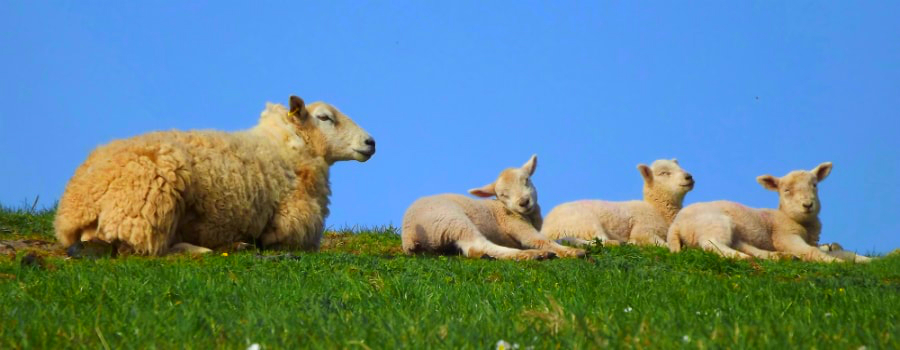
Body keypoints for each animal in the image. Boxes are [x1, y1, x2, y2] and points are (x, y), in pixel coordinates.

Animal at [54, 95, 374, 254]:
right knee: (147, 247)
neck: (286, 146)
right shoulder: (292, 224)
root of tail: (76, 204)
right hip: (146, 207)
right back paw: (206, 248)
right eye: (324, 117)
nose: (371, 142)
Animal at [402, 155, 588, 260]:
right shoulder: (515, 225)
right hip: (451, 220)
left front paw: (587, 242)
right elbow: (540, 240)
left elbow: (564, 237)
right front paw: (571, 251)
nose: (524, 202)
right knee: (477, 247)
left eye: (527, 180)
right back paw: (530, 255)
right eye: (503, 195)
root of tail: (409, 235)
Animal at [536, 159, 692, 246]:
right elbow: (660, 243)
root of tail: (545, 230)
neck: (657, 209)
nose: (689, 177)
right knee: (602, 242)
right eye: (664, 173)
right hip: (585, 222)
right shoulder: (644, 229)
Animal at [668, 161, 872, 262]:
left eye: (815, 185)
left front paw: (868, 261)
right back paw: (744, 258)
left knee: (740, 245)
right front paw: (838, 264)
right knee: (711, 243)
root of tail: (676, 225)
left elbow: (846, 253)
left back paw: (778, 257)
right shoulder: (784, 236)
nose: (808, 205)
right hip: (715, 223)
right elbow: (813, 253)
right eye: (786, 190)